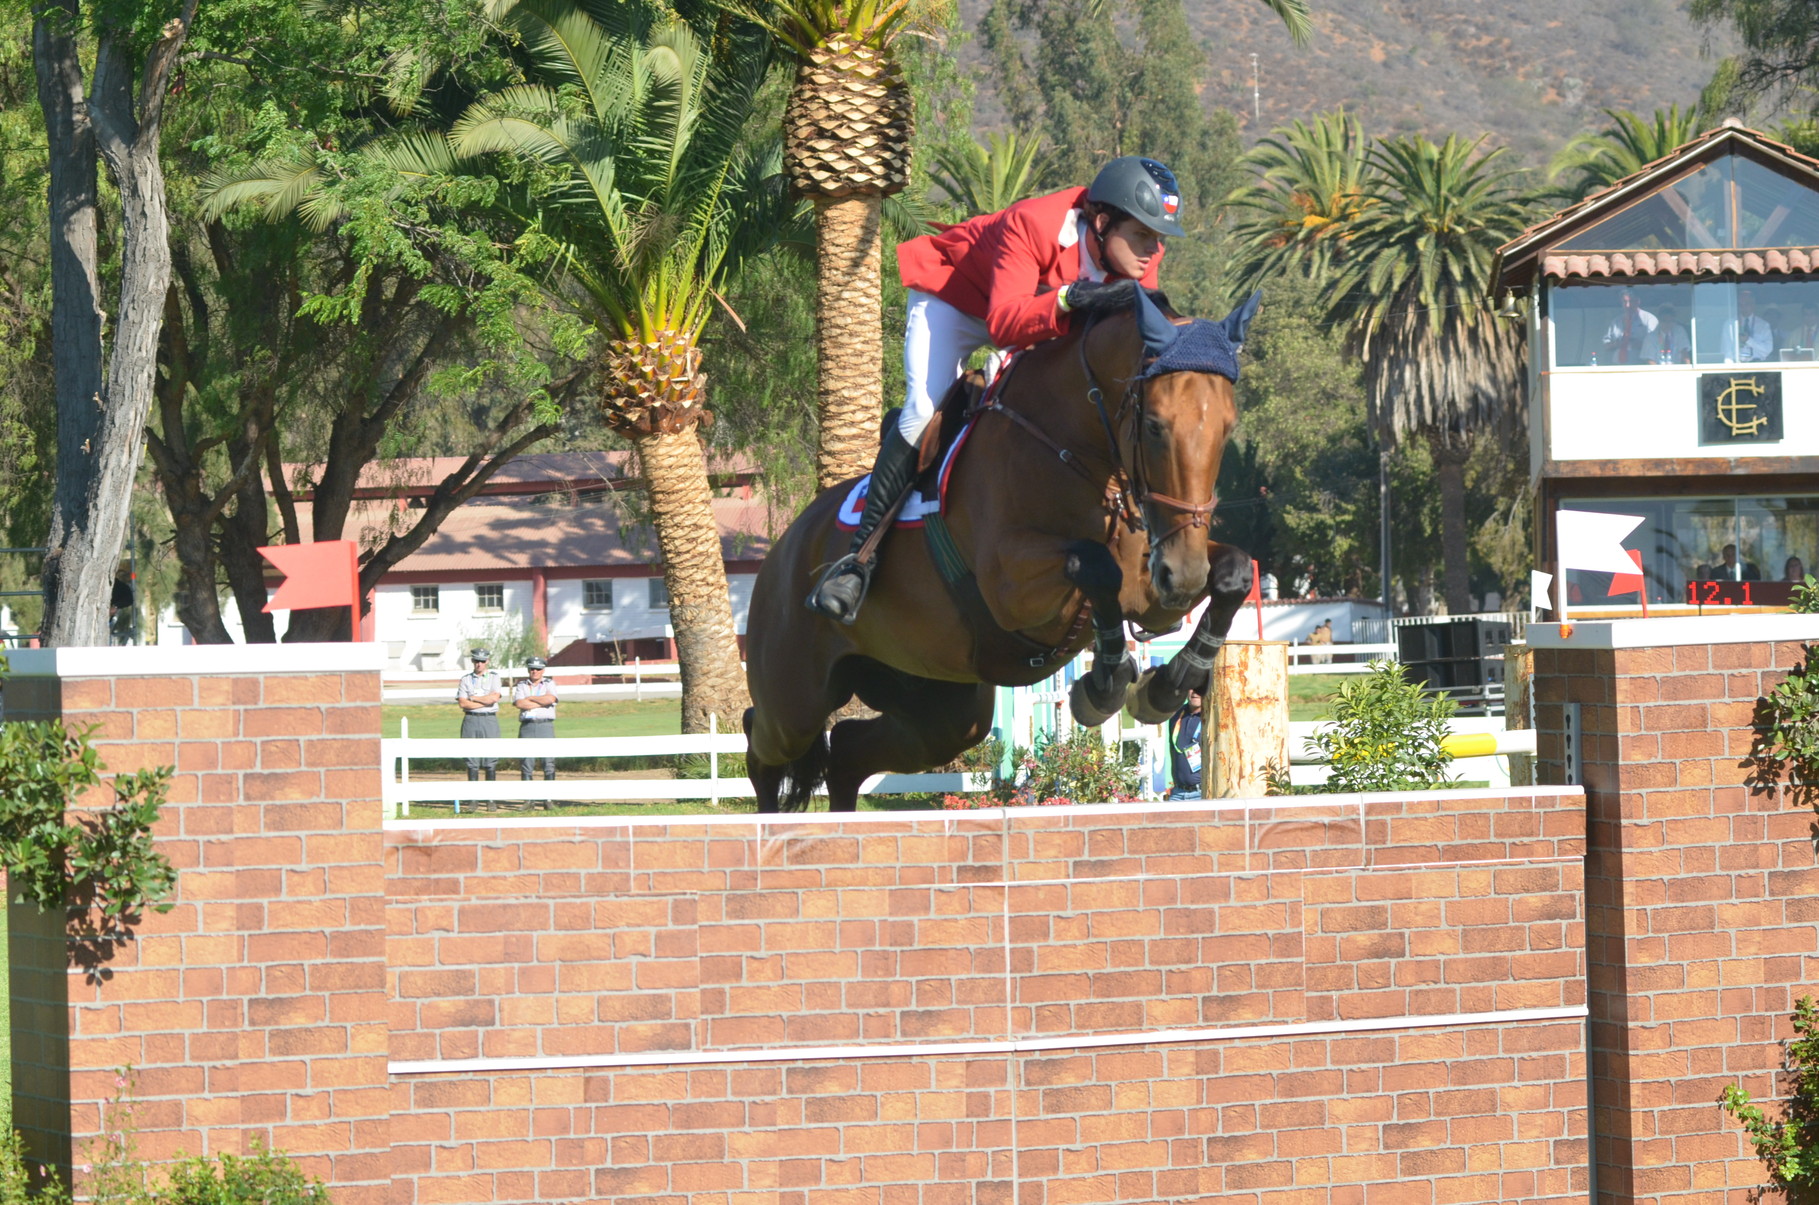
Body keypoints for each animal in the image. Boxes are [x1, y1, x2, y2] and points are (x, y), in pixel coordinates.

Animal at [745, 291, 1258, 811]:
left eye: (1227, 428)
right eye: (1154, 426)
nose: (1184, 576)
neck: (1074, 447)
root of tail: (783, 547)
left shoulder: (1151, 588)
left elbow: (1233, 572)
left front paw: (1169, 684)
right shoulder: (1012, 590)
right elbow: (1094, 566)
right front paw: (1104, 685)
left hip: (940, 707)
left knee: (849, 751)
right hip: (796, 701)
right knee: (762, 743)